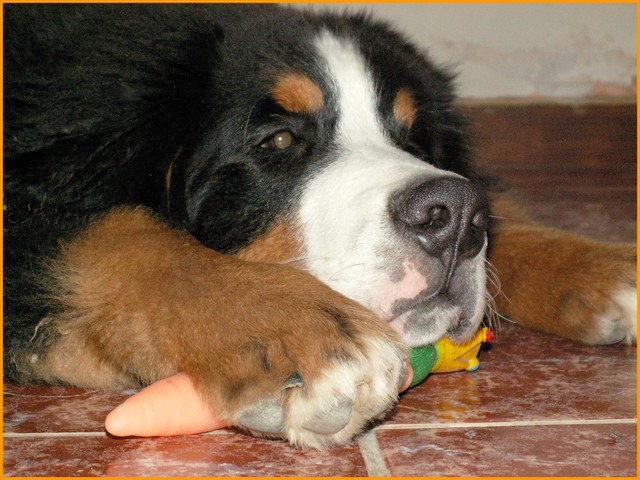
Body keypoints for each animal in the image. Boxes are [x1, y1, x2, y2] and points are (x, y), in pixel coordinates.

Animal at [3, 3, 636, 448]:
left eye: (413, 142)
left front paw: (603, 266)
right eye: (280, 140)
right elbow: (118, 238)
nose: (453, 215)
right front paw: (297, 331)